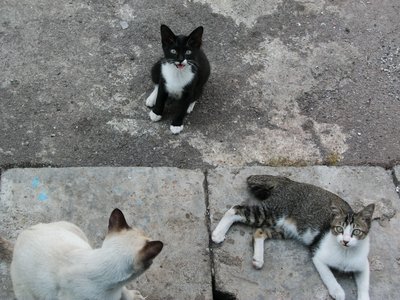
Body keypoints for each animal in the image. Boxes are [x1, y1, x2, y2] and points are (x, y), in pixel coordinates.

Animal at [212, 175, 376, 300]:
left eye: (356, 232)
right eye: (339, 229)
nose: (345, 241)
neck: (345, 252)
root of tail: (287, 181)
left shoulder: (362, 264)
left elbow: (364, 284)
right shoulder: (318, 254)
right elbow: (328, 275)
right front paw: (338, 291)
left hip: (284, 228)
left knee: (259, 232)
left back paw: (258, 259)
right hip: (271, 212)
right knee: (236, 209)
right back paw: (218, 234)